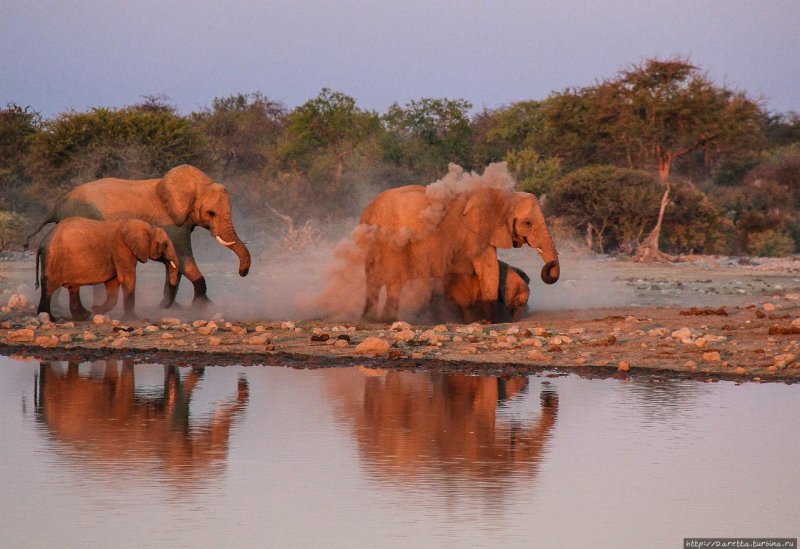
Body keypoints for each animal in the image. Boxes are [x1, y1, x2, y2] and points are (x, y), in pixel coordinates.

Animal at [36, 217, 179, 322]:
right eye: (165, 244)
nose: (165, 307)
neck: (147, 226)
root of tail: (43, 242)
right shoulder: (121, 249)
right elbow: (127, 278)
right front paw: (133, 320)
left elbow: (113, 283)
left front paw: (97, 310)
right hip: (54, 259)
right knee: (49, 288)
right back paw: (49, 318)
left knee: (73, 288)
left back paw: (85, 316)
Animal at [360, 167, 560, 322]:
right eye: (528, 223)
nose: (549, 266)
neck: (501, 195)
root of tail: (369, 209)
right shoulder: (475, 234)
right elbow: (489, 268)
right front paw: (490, 320)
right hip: (393, 239)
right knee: (395, 279)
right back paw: (389, 319)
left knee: (374, 279)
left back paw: (370, 318)